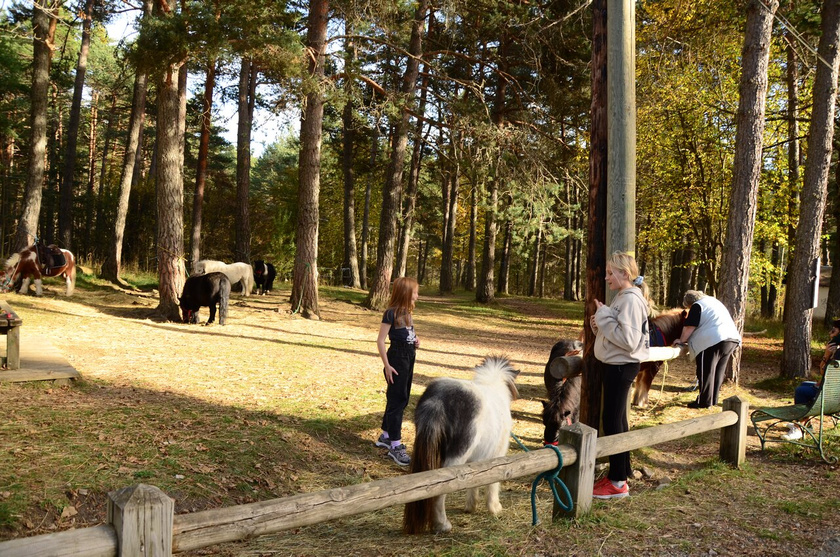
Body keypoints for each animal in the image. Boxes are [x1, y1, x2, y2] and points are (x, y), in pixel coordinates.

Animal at [402, 356, 520, 536]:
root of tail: (438, 400)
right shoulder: (497, 455)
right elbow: (493, 483)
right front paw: (494, 508)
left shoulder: (477, 459)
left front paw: (471, 507)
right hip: (455, 457)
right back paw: (442, 525)